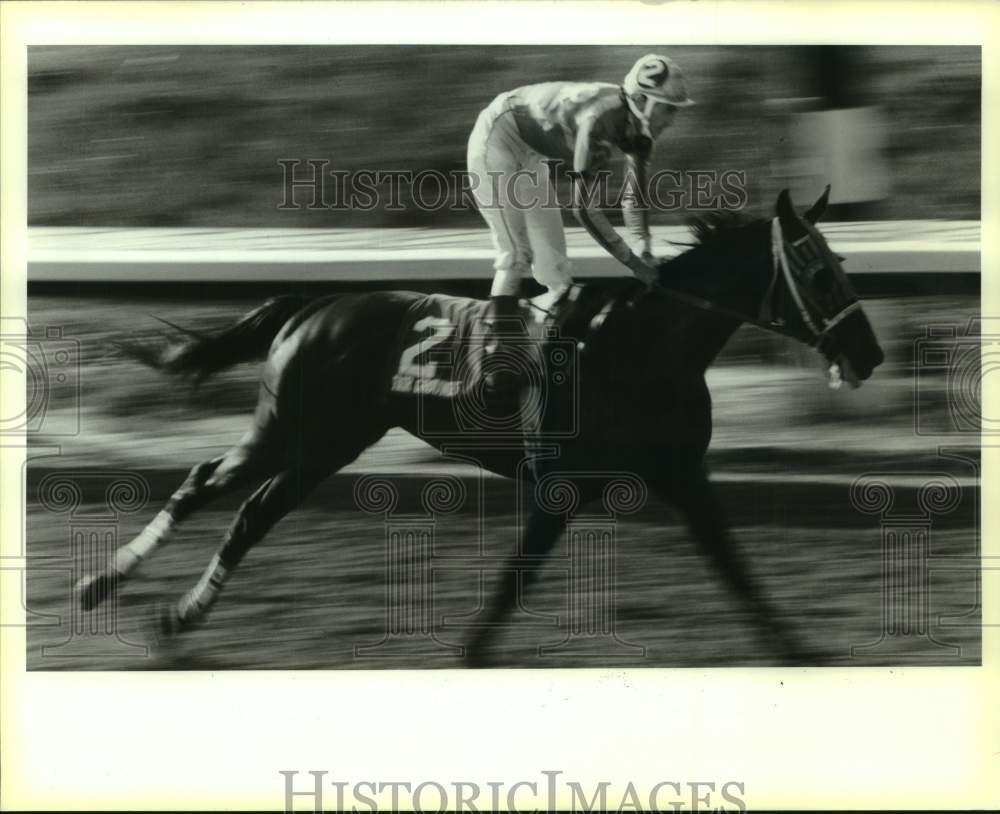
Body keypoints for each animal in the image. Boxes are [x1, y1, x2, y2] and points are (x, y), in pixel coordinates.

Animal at [76, 190, 884, 664]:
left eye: (842, 260)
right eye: (818, 271)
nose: (869, 353)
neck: (643, 347)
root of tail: (316, 303)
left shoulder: (682, 474)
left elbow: (735, 566)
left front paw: (798, 650)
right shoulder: (563, 487)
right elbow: (516, 575)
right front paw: (471, 649)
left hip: (327, 443)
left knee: (253, 511)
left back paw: (178, 615)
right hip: (292, 428)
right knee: (205, 482)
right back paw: (100, 585)